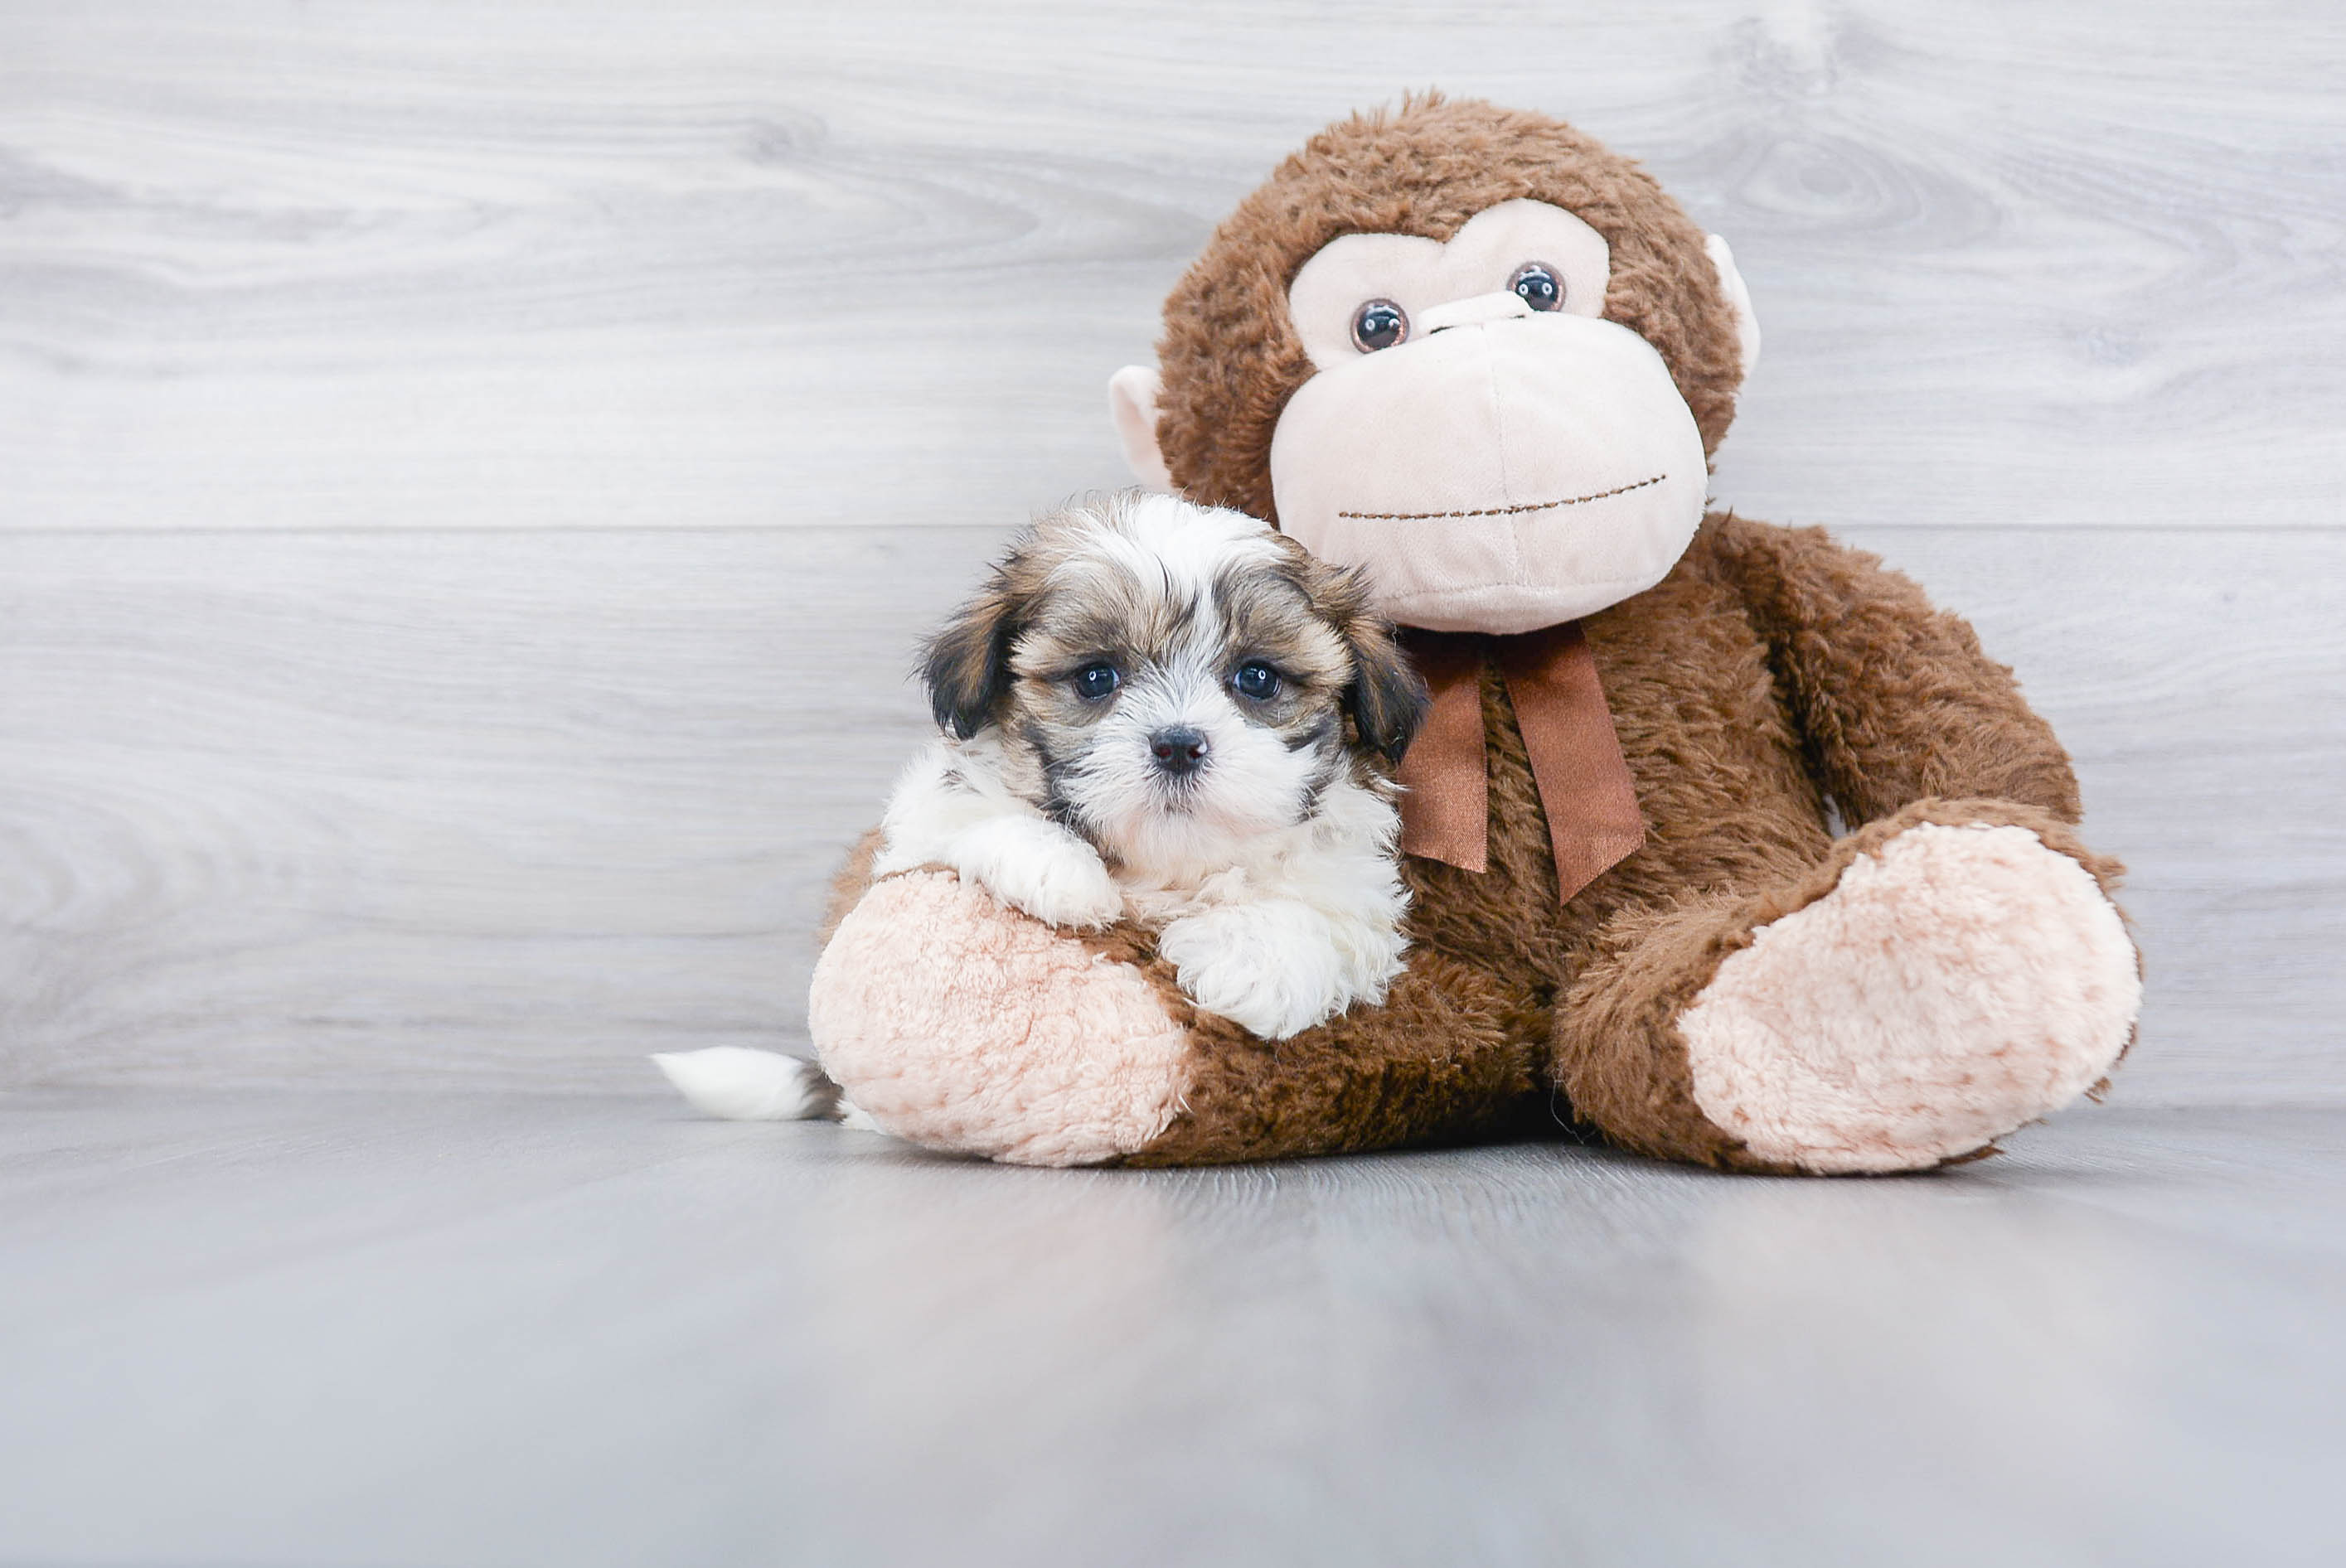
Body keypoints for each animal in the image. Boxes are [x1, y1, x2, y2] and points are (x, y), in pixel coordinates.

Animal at [882, 491, 1426, 1040]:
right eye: (1095, 677)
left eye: (1257, 678)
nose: (1178, 745)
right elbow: (964, 810)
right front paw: (1050, 864)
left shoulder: (1355, 883)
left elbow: (1323, 901)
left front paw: (1254, 959)